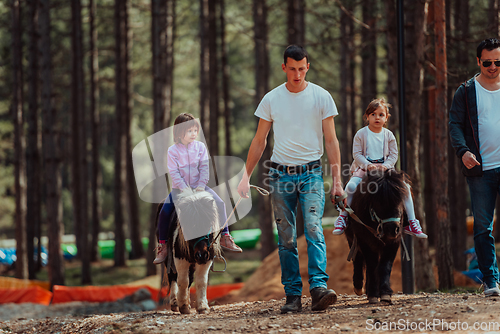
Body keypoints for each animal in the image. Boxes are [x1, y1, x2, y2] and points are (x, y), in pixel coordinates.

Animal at [344, 170, 410, 302]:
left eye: (400, 200)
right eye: (379, 201)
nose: (392, 229)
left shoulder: (393, 242)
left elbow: (385, 266)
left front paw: (384, 293)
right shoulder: (364, 240)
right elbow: (371, 265)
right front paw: (373, 293)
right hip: (352, 239)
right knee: (358, 259)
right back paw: (359, 287)